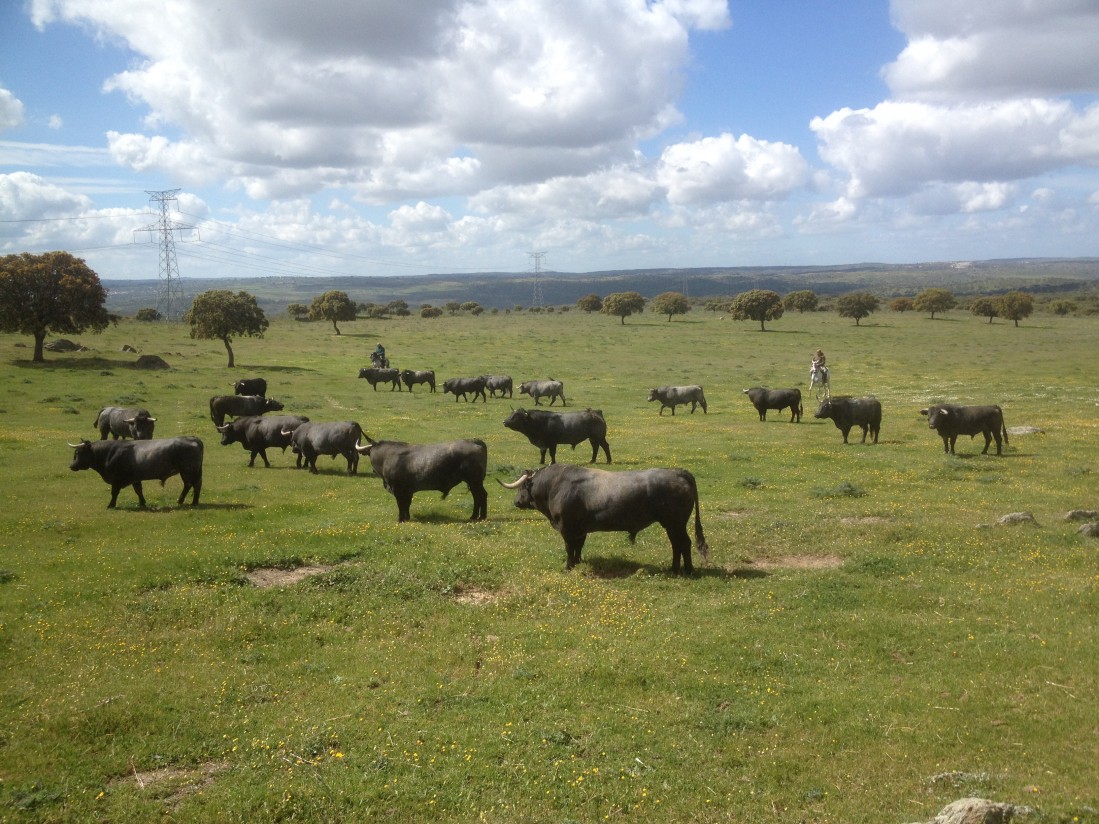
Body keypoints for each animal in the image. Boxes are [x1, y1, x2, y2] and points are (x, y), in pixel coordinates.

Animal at [68, 439, 204, 509]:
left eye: (78, 453)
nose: (71, 466)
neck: (109, 453)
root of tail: (192, 438)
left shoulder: (116, 480)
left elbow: (114, 493)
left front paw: (111, 505)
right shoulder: (135, 479)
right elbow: (138, 490)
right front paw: (142, 503)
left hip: (188, 470)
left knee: (192, 484)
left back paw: (188, 501)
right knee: (193, 485)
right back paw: (189, 501)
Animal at [356, 435, 490, 518]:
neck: (387, 457)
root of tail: (475, 441)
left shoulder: (398, 490)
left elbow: (401, 505)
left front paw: (401, 520)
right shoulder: (408, 491)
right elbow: (406, 505)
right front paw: (407, 518)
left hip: (475, 481)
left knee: (481, 496)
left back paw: (480, 517)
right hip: (473, 482)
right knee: (477, 497)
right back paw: (474, 516)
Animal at [503, 465, 707, 575]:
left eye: (521, 487)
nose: (516, 501)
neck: (555, 485)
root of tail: (678, 472)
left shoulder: (567, 528)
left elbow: (569, 548)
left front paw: (568, 567)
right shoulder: (580, 530)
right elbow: (578, 547)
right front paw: (578, 563)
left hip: (675, 523)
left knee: (684, 543)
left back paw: (687, 570)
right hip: (671, 525)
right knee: (676, 545)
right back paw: (674, 569)